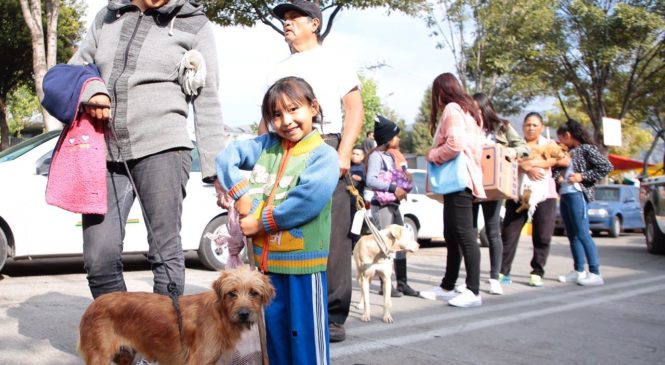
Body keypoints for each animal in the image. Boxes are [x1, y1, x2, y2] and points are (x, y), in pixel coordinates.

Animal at [76, 264, 274, 364]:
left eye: (254, 293)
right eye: (232, 293)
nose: (244, 314)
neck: (220, 314)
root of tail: (93, 305)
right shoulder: (198, 361)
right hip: (100, 357)